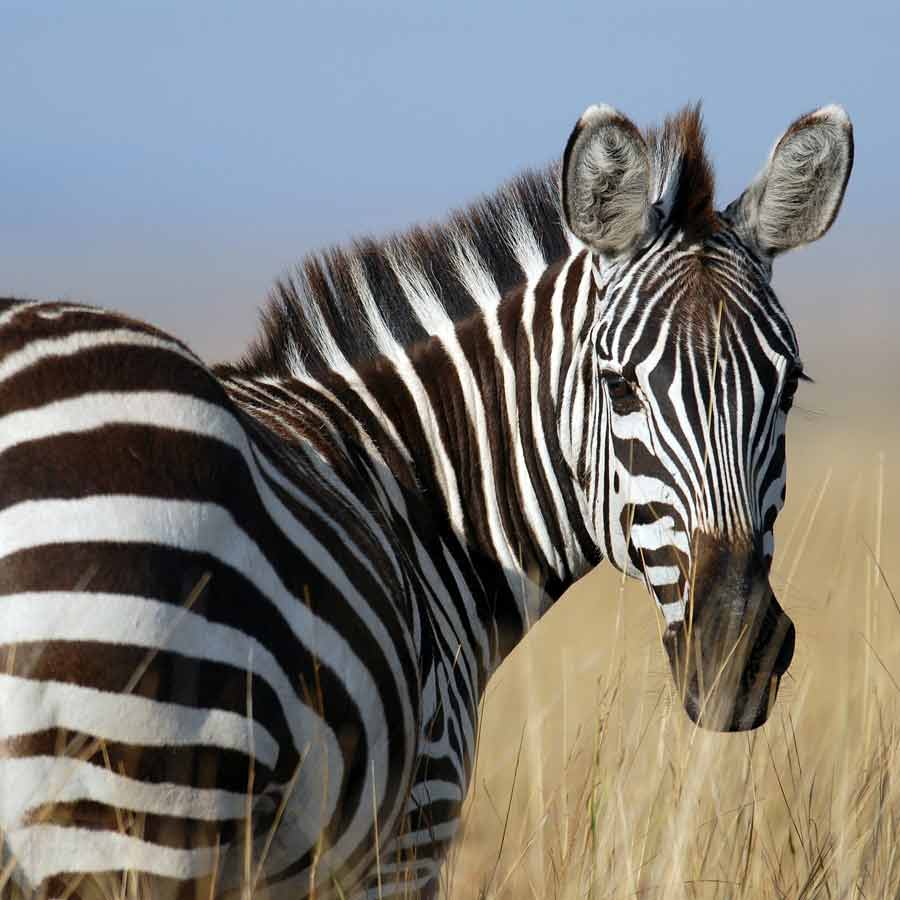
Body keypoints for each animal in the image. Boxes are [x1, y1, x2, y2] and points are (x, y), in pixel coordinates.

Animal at [0, 102, 852, 898]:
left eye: (787, 387)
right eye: (618, 386)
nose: (738, 654)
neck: (420, 494)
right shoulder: (411, 830)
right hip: (135, 813)